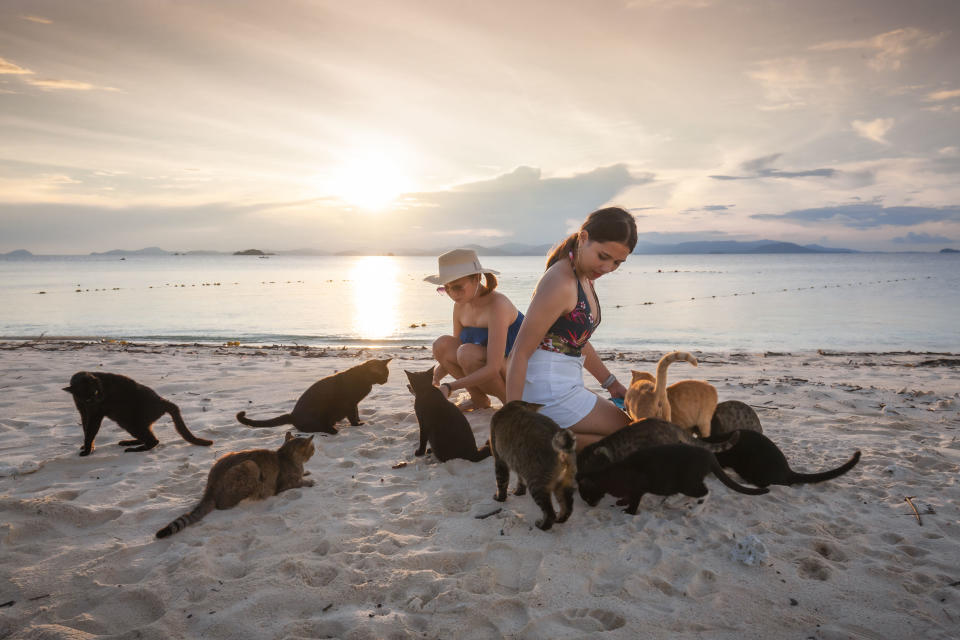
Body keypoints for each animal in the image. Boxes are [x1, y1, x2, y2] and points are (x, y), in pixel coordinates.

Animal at [64, 370, 214, 456]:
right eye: (87, 397)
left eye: (96, 391)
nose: (97, 399)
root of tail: (163, 400)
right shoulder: (84, 412)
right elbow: (85, 429)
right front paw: (88, 447)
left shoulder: (96, 414)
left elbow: (90, 432)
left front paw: (87, 450)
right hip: (131, 423)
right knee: (149, 436)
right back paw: (128, 443)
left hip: (130, 422)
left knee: (153, 440)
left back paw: (134, 449)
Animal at [152, 432, 314, 536]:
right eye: (312, 448)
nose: (314, 451)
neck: (286, 454)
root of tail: (210, 487)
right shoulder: (283, 485)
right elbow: (299, 483)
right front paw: (309, 481)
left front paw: (306, 473)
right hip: (250, 466)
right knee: (224, 504)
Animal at [236, 358, 390, 432]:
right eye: (383, 374)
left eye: (387, 374)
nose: (386, 380)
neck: (364, 379)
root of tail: (292, 414)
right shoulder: (349, 403)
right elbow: (352, 416)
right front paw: (356, 425)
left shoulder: (355, 404)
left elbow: (356, 413)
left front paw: (359, 421)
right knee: (316, 429)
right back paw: (332, 430)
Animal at [572, 442, 768, 512]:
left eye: (587, 496)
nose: (590, 505)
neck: (609, 473)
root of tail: (709, 454)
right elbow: (627, 496)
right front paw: (622, 502)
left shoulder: (638, 488)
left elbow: (634, 500)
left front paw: (628, 511)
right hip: (683, 483)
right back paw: (672, 503)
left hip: (687, 482)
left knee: (706, 492)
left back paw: (695, 509)